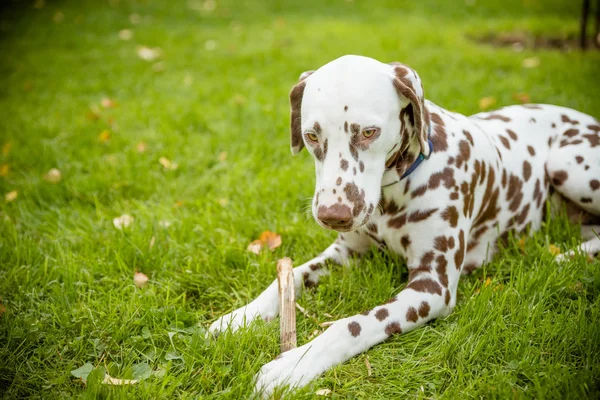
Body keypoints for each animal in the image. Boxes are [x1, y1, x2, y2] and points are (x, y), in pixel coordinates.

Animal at [210, 54, 600, 396]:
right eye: (312, 136)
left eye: (369, 132)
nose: (333, 214)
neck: (394, 193)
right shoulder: (345, 253)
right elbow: (288, 279)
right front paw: (238, 318)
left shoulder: (432, 287)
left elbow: (353, 324)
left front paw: (294, 365)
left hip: (565, 163)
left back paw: (568, 257)